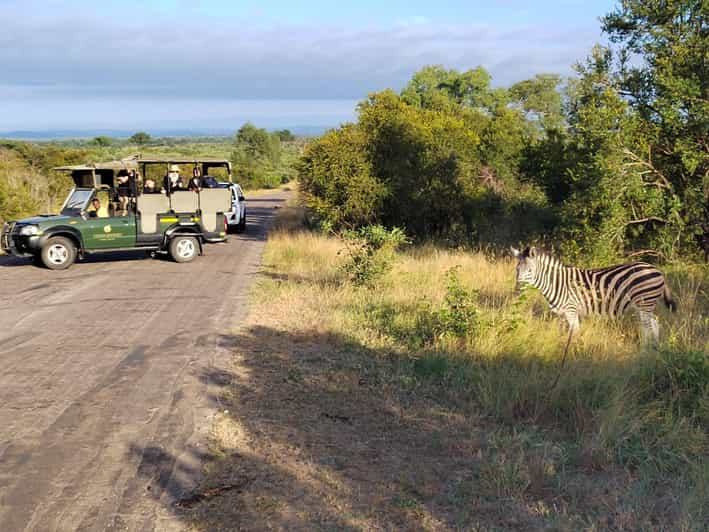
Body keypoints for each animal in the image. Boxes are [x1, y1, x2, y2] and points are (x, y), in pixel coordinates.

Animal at [508, 247, 676, 342]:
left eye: (530, 271)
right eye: (517, 270)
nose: (517, 291)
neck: (556, 283)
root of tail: (657, 269)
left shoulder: (571, 310)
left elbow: (574, 334)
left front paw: (575, 354)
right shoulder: (562, 314)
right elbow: (565, 335)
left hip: (644, 303)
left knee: (648, 327)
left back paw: (645, 351)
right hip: (643, 306)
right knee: (655, 324)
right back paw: (653, 349)